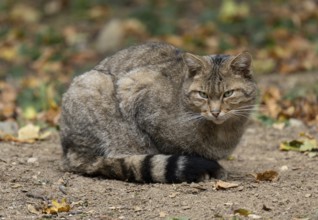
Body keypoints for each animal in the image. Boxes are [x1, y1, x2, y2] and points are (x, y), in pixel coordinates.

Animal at [59, 42, 258, 183]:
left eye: (228, 94)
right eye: (203, 95)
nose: (215, 112)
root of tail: (68, 150)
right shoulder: (133, 87)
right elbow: (162, 149)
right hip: (95, 86)